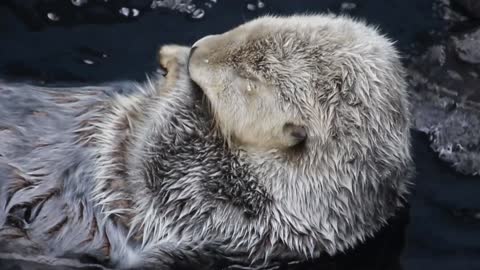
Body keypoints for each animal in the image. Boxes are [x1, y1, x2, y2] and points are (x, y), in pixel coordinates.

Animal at [0, 15, 412, 270]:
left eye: (248, 77)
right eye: (246, 28)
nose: (198, 48)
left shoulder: (228, 218)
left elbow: (155, 170)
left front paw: (180, 71)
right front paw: (174, 57)